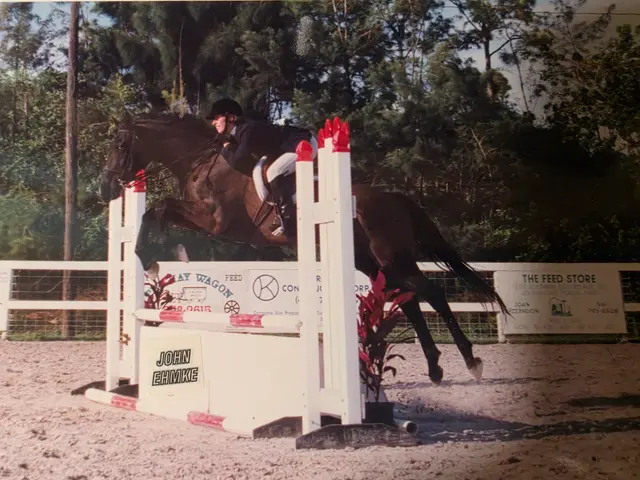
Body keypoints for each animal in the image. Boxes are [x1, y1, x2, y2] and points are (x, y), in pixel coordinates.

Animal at [99, 112, 509, 385]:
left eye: (119, 144)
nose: (105, 189)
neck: (205, 160)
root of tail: (392, 198)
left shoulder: (215, 222)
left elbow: (159, 209)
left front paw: (153, 259)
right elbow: (157, 212)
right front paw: (159, 257)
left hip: (391, 256)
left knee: (431, 293)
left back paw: (470, 361)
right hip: (371, 261)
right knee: (407, 297)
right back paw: (436, 366)